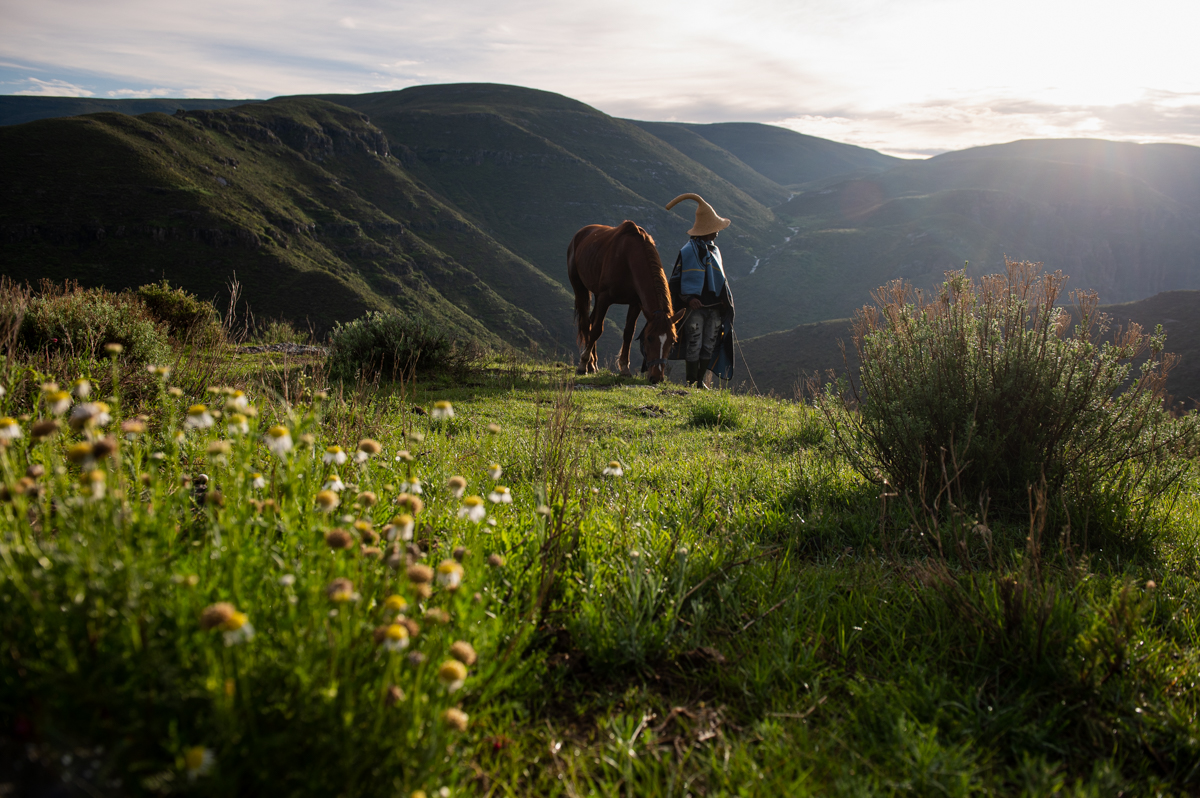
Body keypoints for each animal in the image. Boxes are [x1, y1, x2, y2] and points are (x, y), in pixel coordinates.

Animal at [568, 216, 686, 381]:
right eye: (649, 338)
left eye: (673, 340)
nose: (657, 377)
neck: (628, 259)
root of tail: (580, 234)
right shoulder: (605, 298)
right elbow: (597, 330)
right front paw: (583, 363)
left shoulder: (635, 303)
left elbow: (628, 333)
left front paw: (624, 368)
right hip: (580, 287)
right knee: (586, 324)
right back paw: (588, 363)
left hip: (596, 294)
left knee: (590, 322)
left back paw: (593, 364)